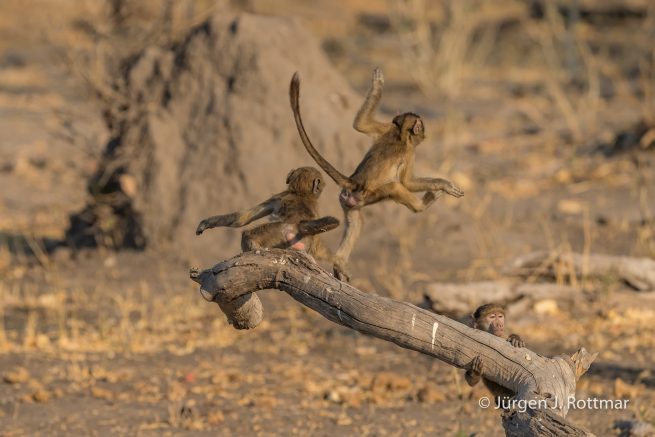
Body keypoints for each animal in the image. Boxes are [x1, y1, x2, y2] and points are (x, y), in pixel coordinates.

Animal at [196, 166, 338, 260]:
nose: (320, 188)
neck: (300, 193)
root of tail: (295, 227)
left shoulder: (278, 197)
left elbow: (242, 218)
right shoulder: (279, 197)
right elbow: (242, 218)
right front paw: (205, 223)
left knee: (247, 234)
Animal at [289, 68, 464, 281]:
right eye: (421, 125)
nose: (425, 131)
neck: (401, 134)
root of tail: (353, 182)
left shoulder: (386, 127)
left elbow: (360, 124)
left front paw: (377, 84)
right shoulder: (409, 151)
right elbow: (408, 183)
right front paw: (443, 184)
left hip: (348, 199)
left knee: (356, 222)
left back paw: (339, 263)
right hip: (369, 195)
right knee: (395, 186)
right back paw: (422, 205)